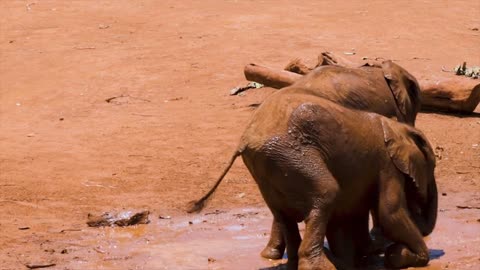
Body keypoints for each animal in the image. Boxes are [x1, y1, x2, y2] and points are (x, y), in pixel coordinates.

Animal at [188, 89, 438, 268]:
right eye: (433, 165)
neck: (397, 127)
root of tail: (245, 139)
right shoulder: (387, 165)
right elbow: (390, 212)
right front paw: (404, 257)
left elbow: (349, 214)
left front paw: (371, 256)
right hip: (292, 155)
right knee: (327, 193)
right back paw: (320, 266)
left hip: (270, 167)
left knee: (284, 214)